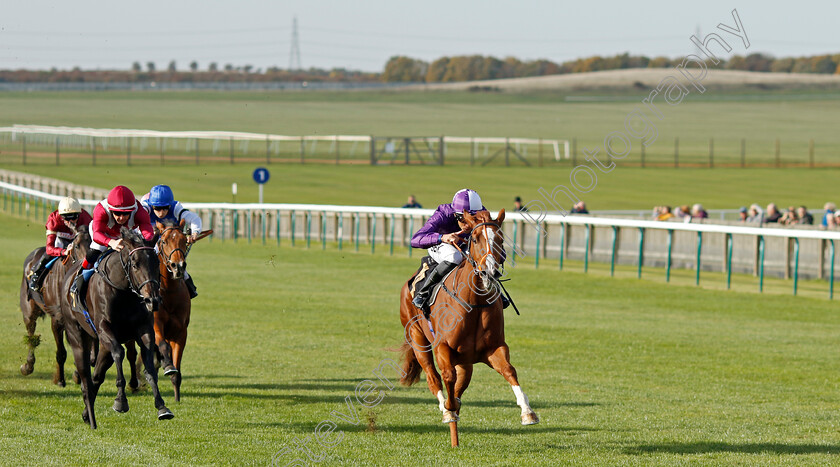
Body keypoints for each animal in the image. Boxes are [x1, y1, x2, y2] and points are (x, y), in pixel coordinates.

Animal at [19, 228, 90, 388]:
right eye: (77, 246)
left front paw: (77, 374)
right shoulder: (57, 320)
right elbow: (61, 352)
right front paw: (60, 380)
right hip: (28, 311)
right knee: (31, 336)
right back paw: (28, 366)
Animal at [60, 229, 172, 430]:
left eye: (156, 263)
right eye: (135, 264)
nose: (153, 300)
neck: (125, 291)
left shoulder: (144, 329)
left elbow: (150, 368)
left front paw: (162, 406)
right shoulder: (104, 329)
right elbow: (119, 353)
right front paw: (120, 401)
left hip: (104, 347)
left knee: (97, 376)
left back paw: (86, 415)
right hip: (77, 335)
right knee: (86, 379)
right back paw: (92, 420)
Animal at [398, 210, 540, 436]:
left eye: (501, 239)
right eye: (475, 239)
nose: (491, 271)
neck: (475, 304)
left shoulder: (494, 348)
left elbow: (509, 370)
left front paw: (527, 412)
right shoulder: (442, 347)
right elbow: (447, 376)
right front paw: (448, 410)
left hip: (465, 360)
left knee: (461, 381)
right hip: (417, 339)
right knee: (432, 377)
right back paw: (446, 408)